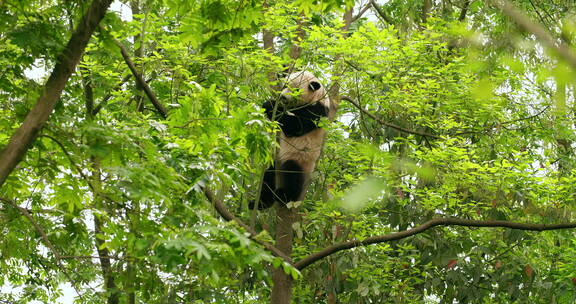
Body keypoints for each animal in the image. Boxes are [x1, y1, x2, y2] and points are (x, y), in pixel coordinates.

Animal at [250, 71, 336, 209]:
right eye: (285, 85)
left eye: (295, 90)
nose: (283, 97)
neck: (317, 96)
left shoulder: (317, 112)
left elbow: (295, 127)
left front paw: (270, 105)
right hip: (277, 162)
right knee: (268, 175)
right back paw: (260, 203)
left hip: (300, 159)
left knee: (292, 174)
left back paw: (284, 196)